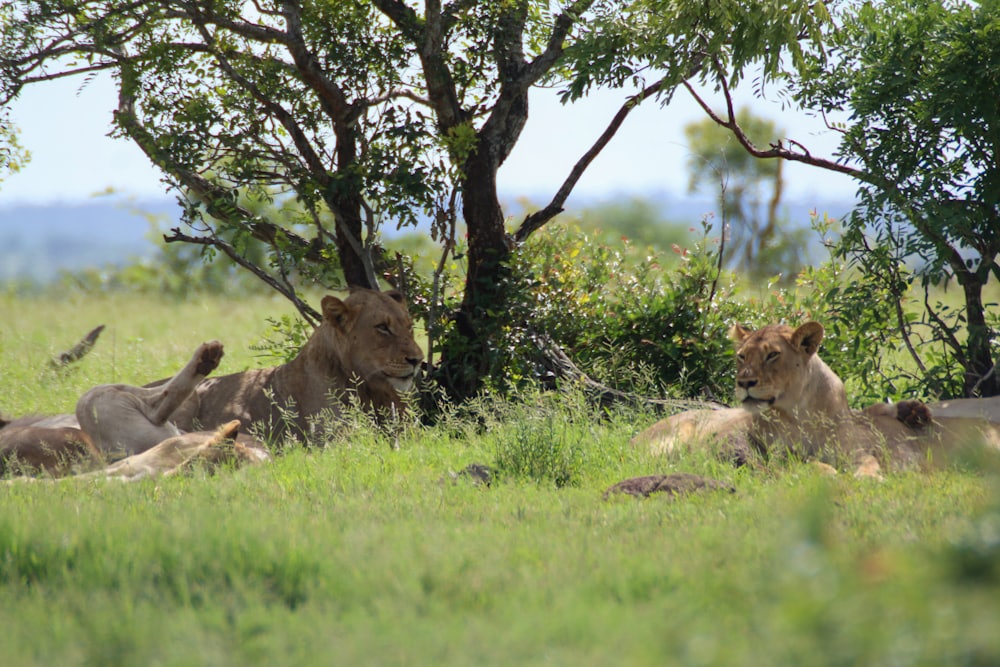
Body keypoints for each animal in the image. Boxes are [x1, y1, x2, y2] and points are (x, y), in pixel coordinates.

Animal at [631, 321, 1000, 476]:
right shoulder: (779, 454)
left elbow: (866, 463)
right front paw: (827, 474)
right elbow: (810, 464)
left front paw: (869, 477)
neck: (801, 412)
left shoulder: (856, 447)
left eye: (772, 355)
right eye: (741, 356)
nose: (744, 382)